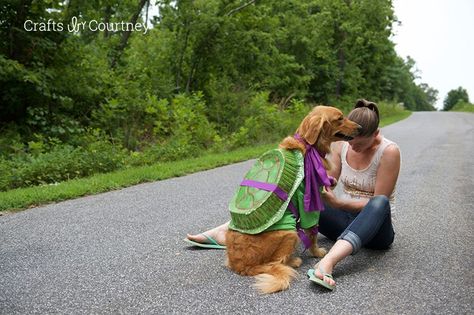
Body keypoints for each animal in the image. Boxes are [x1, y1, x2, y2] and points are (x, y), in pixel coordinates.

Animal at [226, 105, 360, 294]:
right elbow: (312, 234)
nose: (360, 128)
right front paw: (317, 252)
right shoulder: (309, 206)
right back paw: (294, 261)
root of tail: (242, 266)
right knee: (277, 262)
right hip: (290, 232)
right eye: (339, 118)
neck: (309, 146)